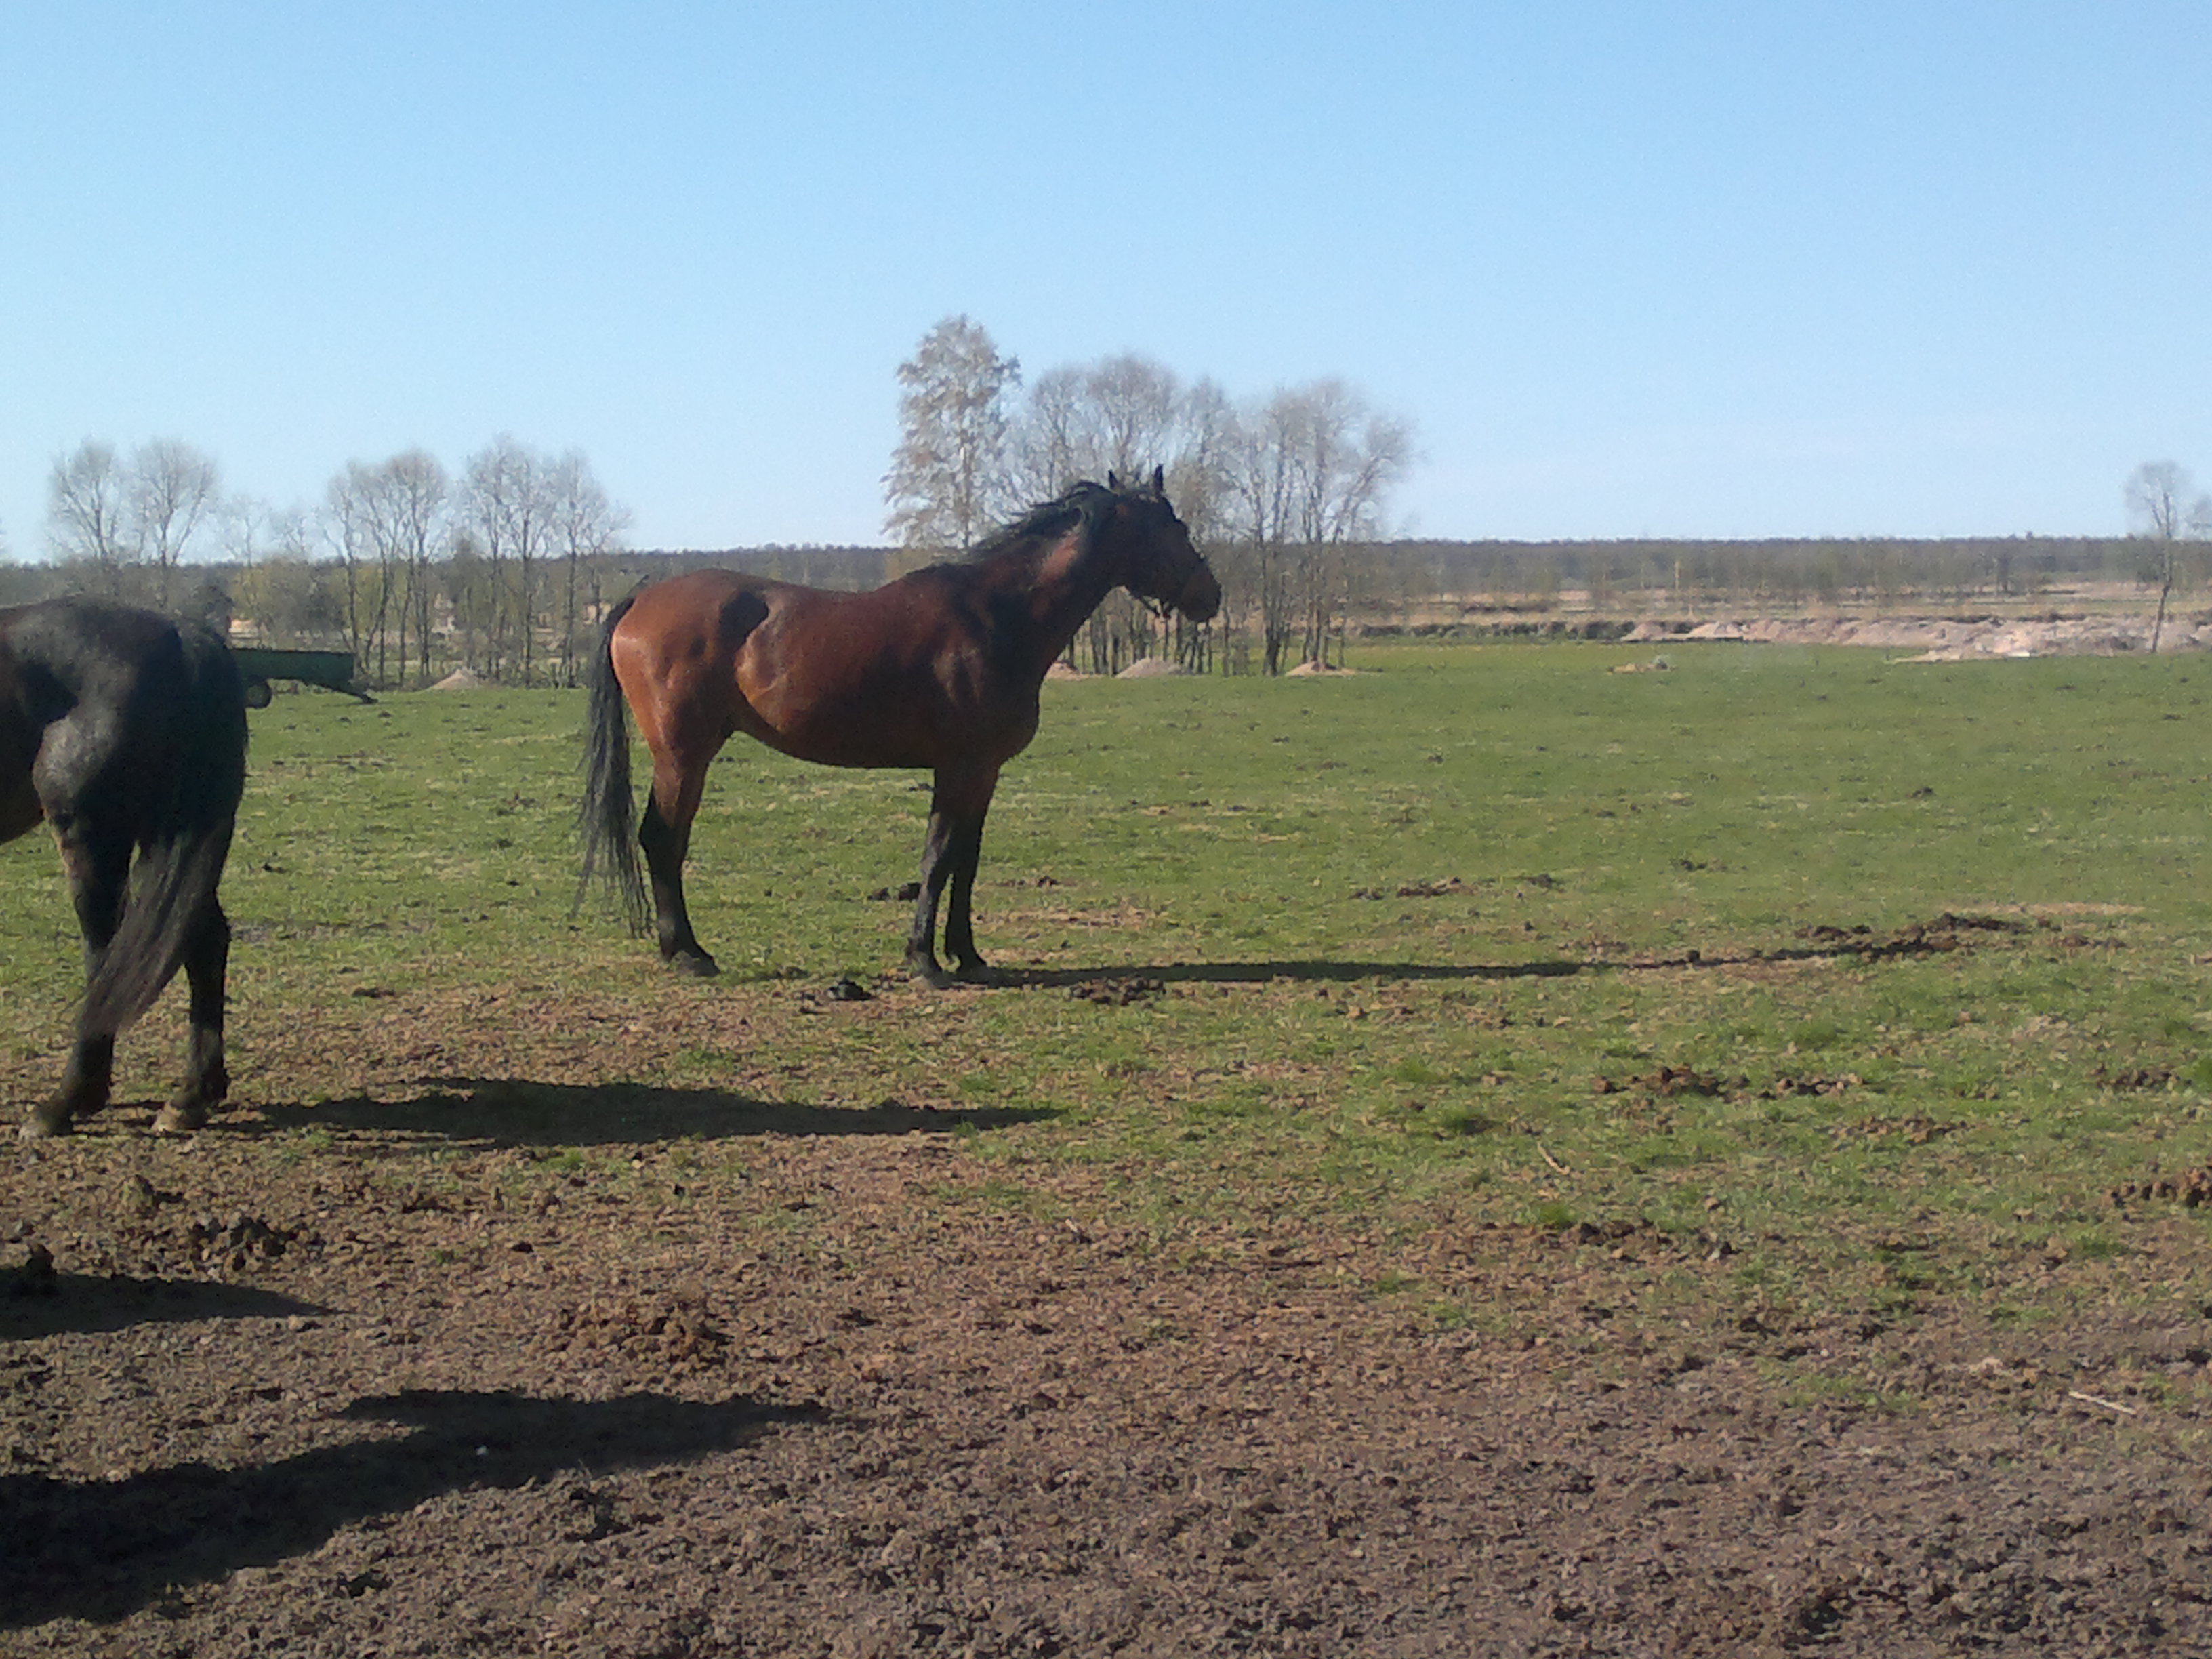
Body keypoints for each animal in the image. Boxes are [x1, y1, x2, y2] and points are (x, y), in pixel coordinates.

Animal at [0, 597, 248, 1138]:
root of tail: (182, 638)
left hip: (93, 838)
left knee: (104, 952)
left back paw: (66, 1102)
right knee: (203, 940)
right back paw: (193, 1095)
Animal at [581, 469, 1221, 985]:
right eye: (1174, 526)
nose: (1210, 596)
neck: (998, 617)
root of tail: (639, 601)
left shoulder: (983, 772)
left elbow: (967, 860)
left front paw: (968, 956)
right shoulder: (960, 766)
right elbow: (938, 858)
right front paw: (924, 961)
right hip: (682, 755)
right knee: (663, 839)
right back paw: (688, 954)